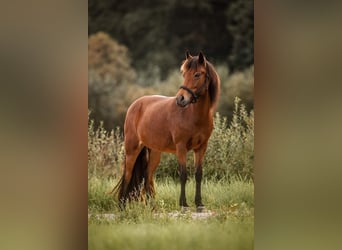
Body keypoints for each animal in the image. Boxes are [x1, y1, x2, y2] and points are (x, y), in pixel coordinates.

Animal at [111, 51, 220, 211]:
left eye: (197, 74)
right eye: (184, 73)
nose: (180, 99)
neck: (193, 115)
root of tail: (135, 104)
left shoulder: (201, 148)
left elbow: (198, 174)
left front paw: (199, 204)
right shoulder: (181, 147)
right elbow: (183, 174)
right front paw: (184, 204)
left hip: (155, 152)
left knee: (147, 175)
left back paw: (152, 207)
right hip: (132, 149)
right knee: (128, 174)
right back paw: (122, 206)